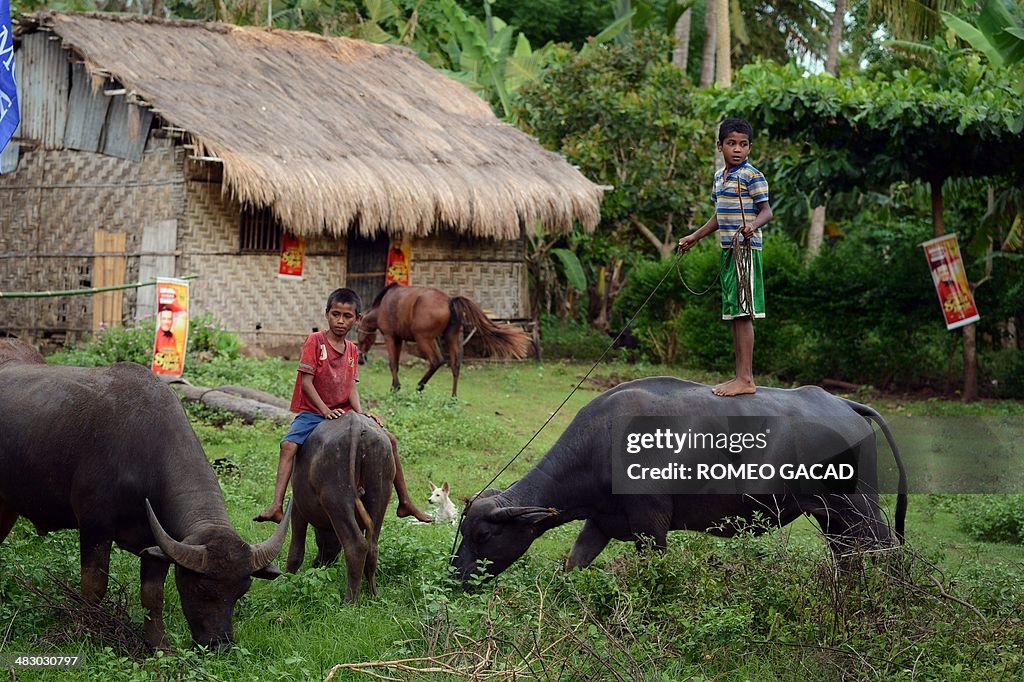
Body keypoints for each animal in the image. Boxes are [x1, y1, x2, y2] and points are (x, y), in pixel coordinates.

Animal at [0, 358, 290, 647]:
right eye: (200, 588)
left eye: (242, 590)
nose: (220, 644)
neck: (141, 457)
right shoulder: (95, 527)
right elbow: (94, 586)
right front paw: (89, 631)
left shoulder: (158, 545)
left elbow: (153, 596)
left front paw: (157, 644)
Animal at [290, 409, 397, 602]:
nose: (319, 562)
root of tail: (356, 426)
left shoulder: (297, 506)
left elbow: (296, 549)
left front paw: (286, 579)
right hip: (380, 490)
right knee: (372, 545)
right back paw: (373, 593)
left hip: (337, 498)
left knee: (357, 545)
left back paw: (350, 601)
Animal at [358, 284, 532, 395]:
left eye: (359, 336)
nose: (360, 360)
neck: (381, 308)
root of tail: (449, 300)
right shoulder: (399, 338)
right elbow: (396, 364)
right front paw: (395, 386)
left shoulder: (390, 336)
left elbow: (393, 363)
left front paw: (395, 387)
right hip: (450, 337)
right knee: (455, 365)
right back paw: (453, 398)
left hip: (424, 338)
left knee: (436, 360)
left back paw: (420, 386)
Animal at [452, 374, 909, 581]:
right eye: (463, 531)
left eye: (484, 535)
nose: (455, 575)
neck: (599, 446)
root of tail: (844, 405)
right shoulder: (600, 522)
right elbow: (574, 564)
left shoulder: (650, 526)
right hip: (832, 516)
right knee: (849, 555)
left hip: (859, 508)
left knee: (886, 548)